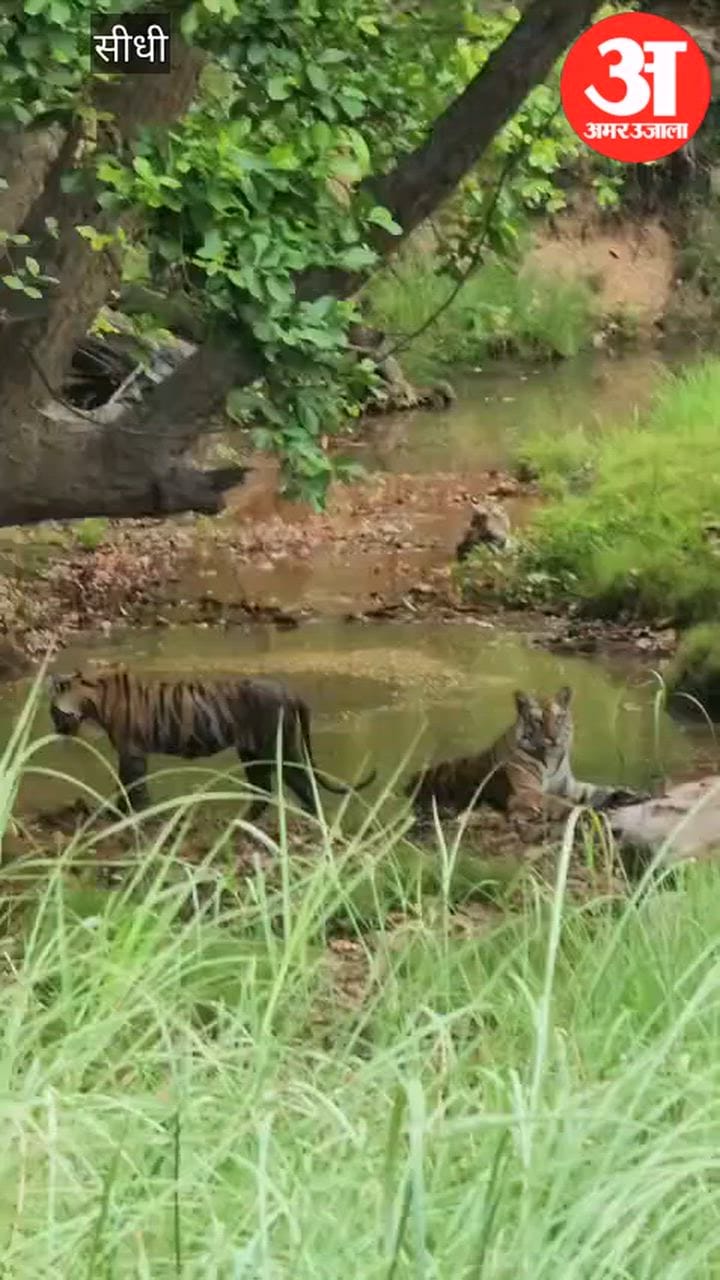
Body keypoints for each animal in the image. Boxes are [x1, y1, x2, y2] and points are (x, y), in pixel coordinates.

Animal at [48, 667, 376, 820]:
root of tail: (289, 690)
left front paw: (130, 815)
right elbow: (128, 786)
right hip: (251, 752)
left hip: (277, 747)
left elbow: (131, 786)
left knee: (301, 782)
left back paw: (312, 818)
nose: (56, 729)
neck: (93, 700)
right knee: (264, 790)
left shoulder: (132, 753)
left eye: (52, 711)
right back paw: (244, 822)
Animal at [405, 685, 645, 821]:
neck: (553, 759)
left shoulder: (570, 785)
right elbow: (557, 802)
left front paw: (628, 793)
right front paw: (584, 810)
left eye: (559, 717)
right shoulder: (525, 792)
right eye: (539, 720)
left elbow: (598, 789)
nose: (553, 738)